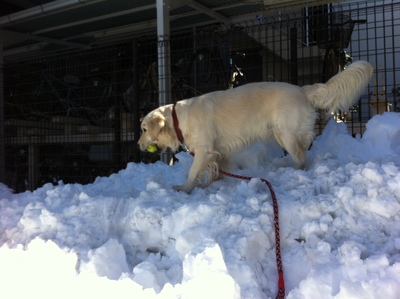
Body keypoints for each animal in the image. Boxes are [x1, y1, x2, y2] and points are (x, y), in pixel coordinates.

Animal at [139, 61, 374, 193]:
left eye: (143, 129)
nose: (138, 145)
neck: (179, 119)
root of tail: (302, 89)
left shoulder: (205, 149)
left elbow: (192, 172)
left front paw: (184, 189)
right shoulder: (217, 152)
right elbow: (214, 170)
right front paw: (210, 185)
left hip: (286, 134)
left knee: (300, 159)